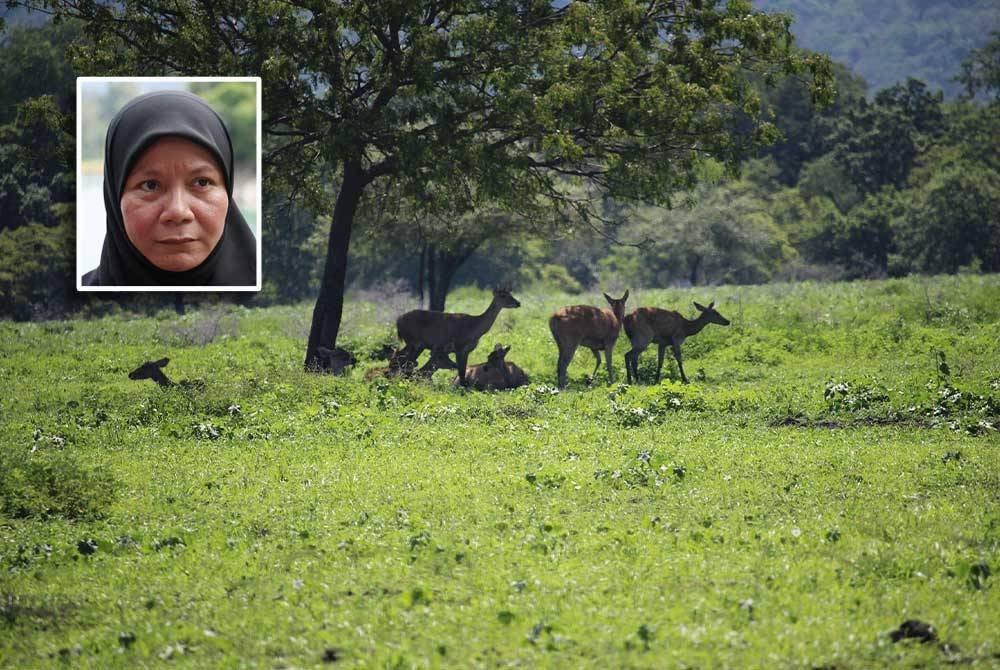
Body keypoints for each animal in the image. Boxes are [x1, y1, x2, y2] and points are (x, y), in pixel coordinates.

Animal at [396, 288, 524, 388]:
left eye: (510, 293)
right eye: (503, 295)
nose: (518, 303)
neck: (474, 327)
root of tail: (398, 321)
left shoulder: (467, 350)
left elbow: (462, 371)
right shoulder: (458, 347)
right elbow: (461, 372)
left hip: (414, 344)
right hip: (413, 342)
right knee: (404, 360)